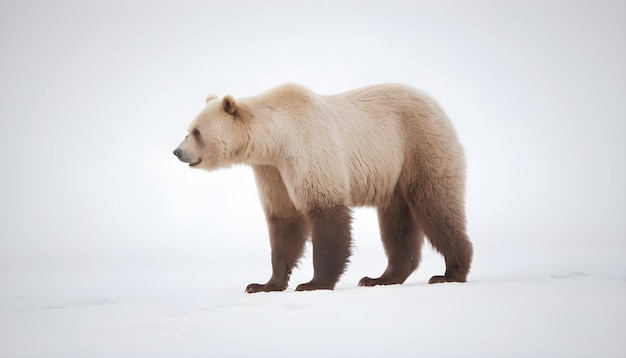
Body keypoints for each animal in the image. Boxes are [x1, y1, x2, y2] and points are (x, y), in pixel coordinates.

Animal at [173, 84, 470, 294]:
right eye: (188, 130)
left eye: (196, 132)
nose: (177, 152)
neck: (274, 139)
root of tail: (436, 104)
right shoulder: (271, 170)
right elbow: (284, 221)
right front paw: (264, 284)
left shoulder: (308, 146)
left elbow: (325, 211)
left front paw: (314, 283)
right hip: (394, 174)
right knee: (397, 225)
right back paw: (380, 277)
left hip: (419, 144)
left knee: (435, 205)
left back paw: (451, 272)